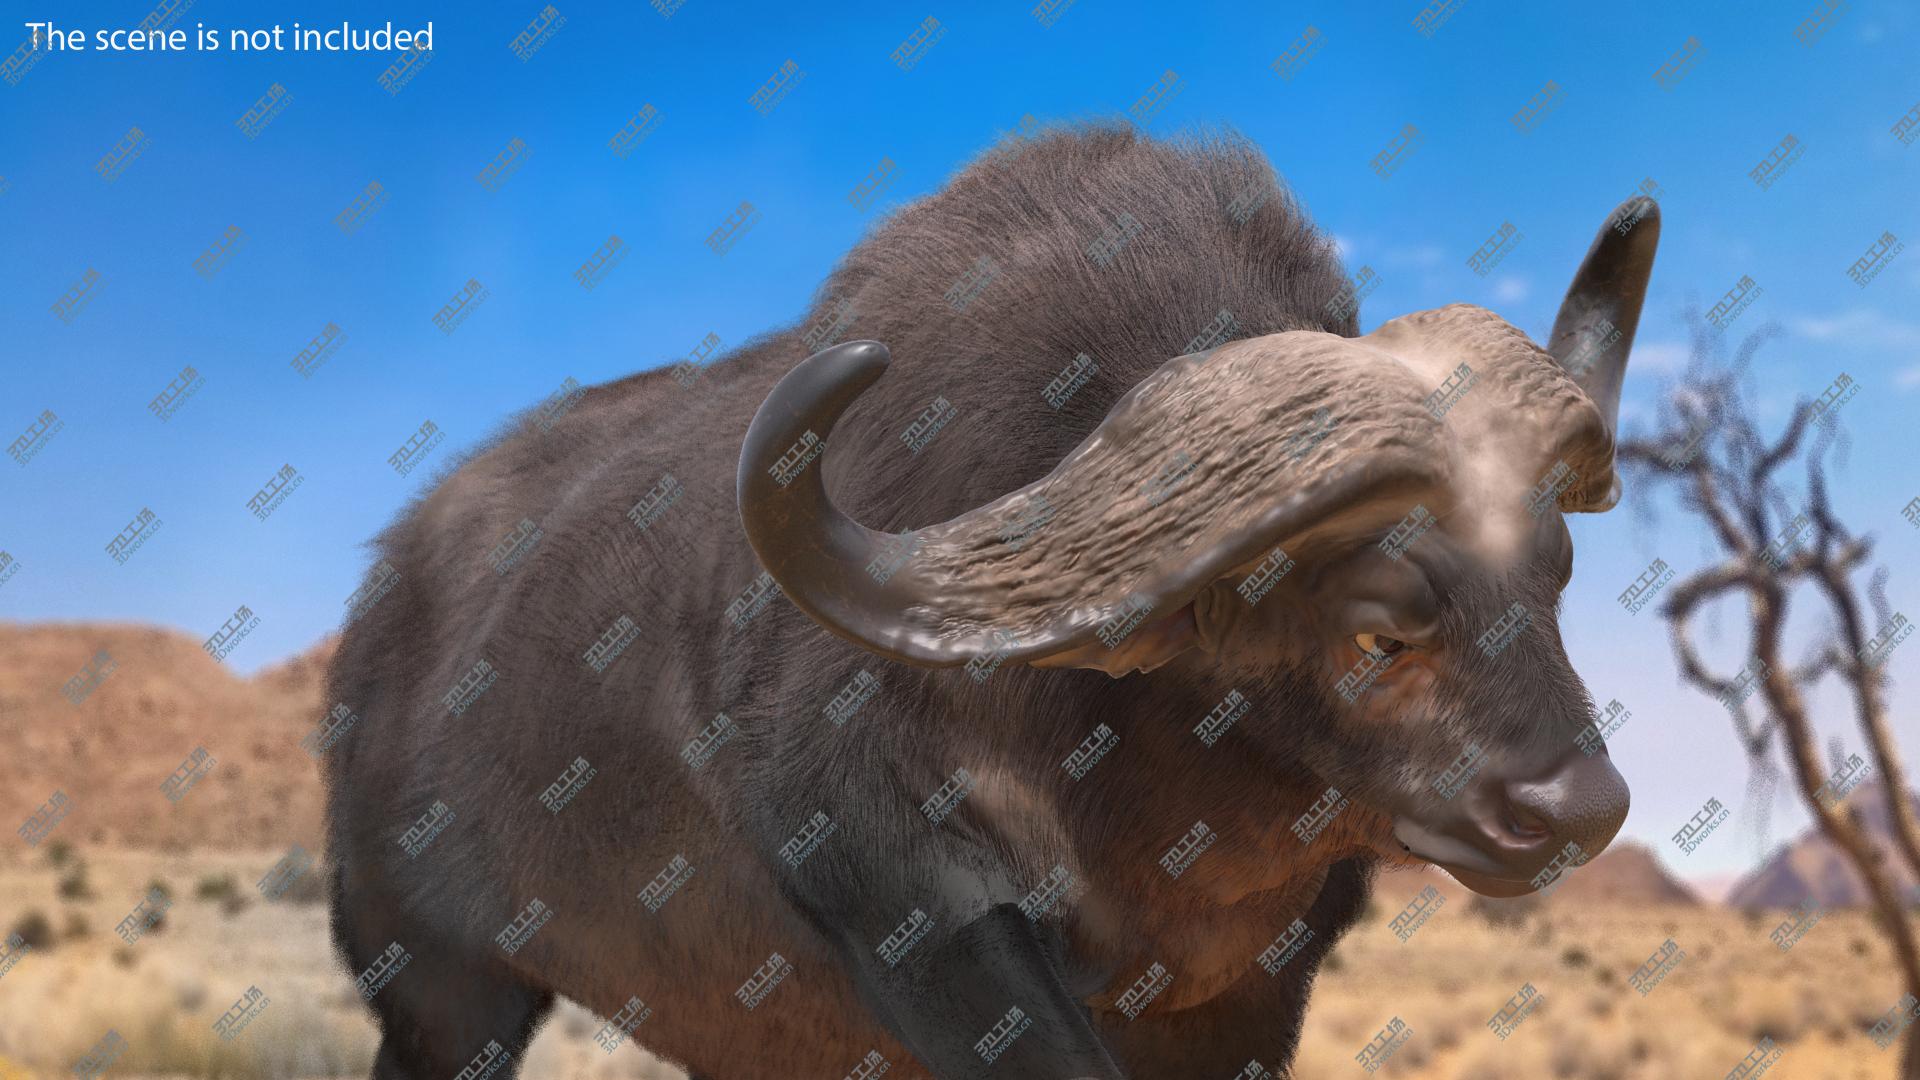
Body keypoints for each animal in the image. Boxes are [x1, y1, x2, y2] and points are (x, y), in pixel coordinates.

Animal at [325, 123, 1657, 1079]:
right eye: (1379, 630)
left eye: (1553, 577)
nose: (1577, 810)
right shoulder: (928, 923)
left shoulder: (1250, 995)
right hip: (437, 993)